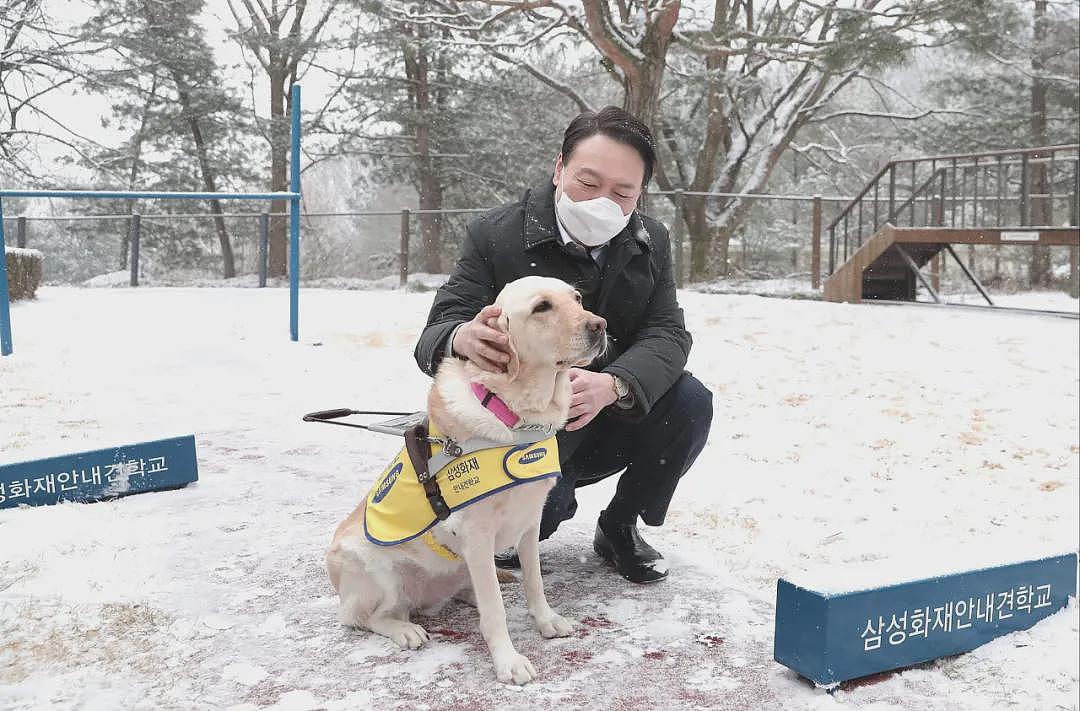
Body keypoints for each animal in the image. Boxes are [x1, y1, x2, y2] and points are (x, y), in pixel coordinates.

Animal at [324, 274, 609, 682]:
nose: (600, 325)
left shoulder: (530, 520)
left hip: (458, 567)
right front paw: (508, 661)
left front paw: (546, 620)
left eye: (577, 298)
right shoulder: (476, 532)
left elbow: (535, 581)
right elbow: (495, 613)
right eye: (542, 307)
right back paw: (405, 629)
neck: (515, 415)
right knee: (365, 617)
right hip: (378, 572)